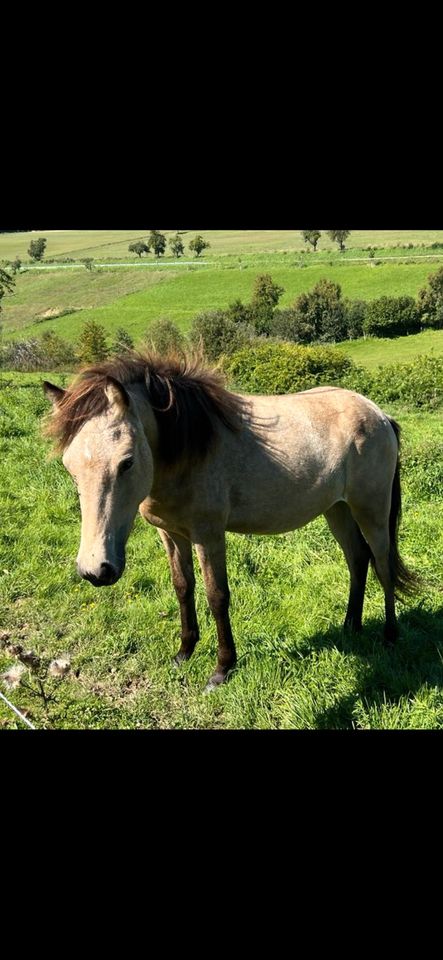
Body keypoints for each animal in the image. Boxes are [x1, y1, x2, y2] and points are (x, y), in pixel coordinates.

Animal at [43, 352, 418, 688]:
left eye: (127, 462)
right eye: (69, 467)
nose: (96, 570)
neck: (187, 448)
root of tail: (379, 415)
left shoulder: (208, 535)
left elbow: (217, 596)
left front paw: (222, 669)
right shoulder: (171, 534)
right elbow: (183, 587)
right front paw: (184, 653)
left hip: (371, 510)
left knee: (382, 563)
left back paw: (390, 635)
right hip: (337, 509)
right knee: (357, 559)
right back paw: (350, 626)